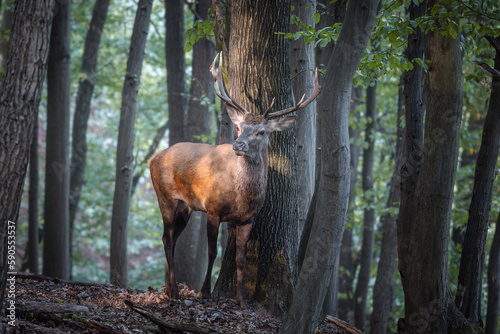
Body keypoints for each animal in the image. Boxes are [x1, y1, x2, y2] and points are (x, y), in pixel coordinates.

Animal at [148, 54, 320, 308]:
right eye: (239, 127)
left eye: (261, 131)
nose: (238, 144)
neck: (242, 197)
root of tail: (153, 158)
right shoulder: (212, 209)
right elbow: (212, 252)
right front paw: (205, 292)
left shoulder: (249, 219)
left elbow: (241, 259)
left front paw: (242, 301)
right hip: (166, 197)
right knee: (167, 239)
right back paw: (175, 293)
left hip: (185, 207)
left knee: (168, 238)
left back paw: (170, 288)